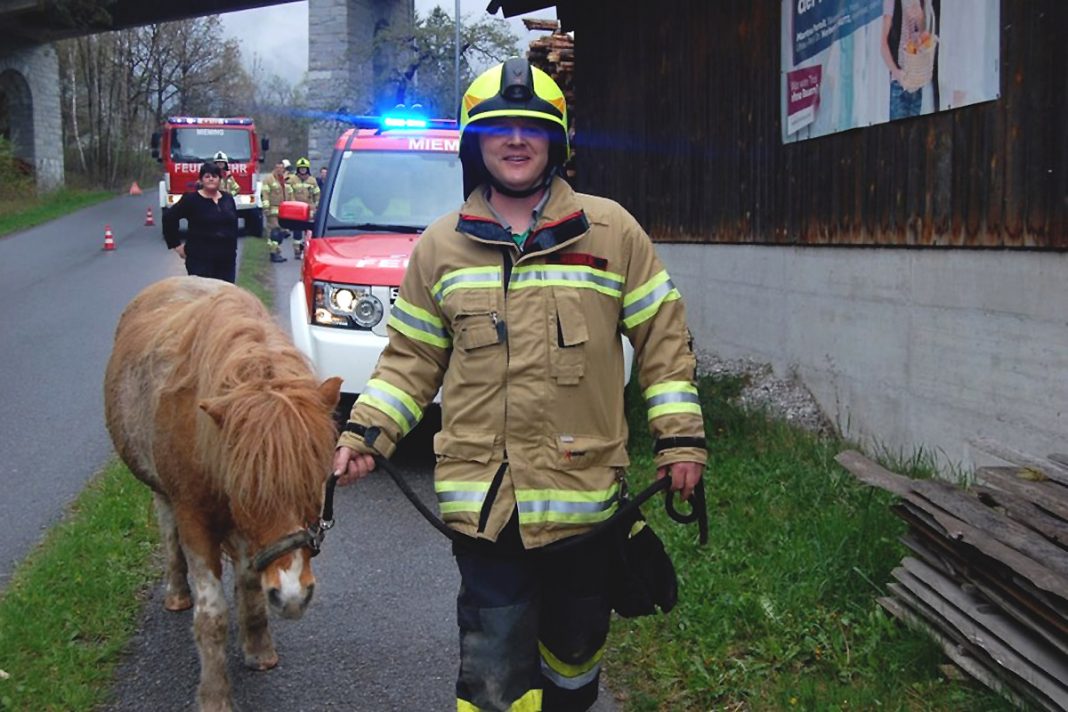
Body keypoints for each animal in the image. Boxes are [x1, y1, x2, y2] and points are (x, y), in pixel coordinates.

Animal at [102, 275, 339, 708]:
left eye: (315, 483)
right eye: (249, 491)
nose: (294, 596)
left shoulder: (248, 534)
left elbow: (250, 588)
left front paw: (258, 649)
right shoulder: (195, 517)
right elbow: (211, 613)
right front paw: (214, 694)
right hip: (163, 495)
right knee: (169, 533)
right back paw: (178, 592)